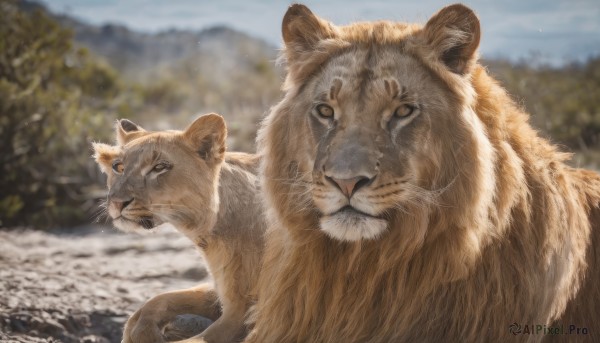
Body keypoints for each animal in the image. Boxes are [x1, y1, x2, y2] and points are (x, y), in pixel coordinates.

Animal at [92, 114, 264, 342]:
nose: (117, 203)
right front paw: (141, 330)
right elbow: (154, 303)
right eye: (118, 167)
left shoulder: (242, 315)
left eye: (159, 167)